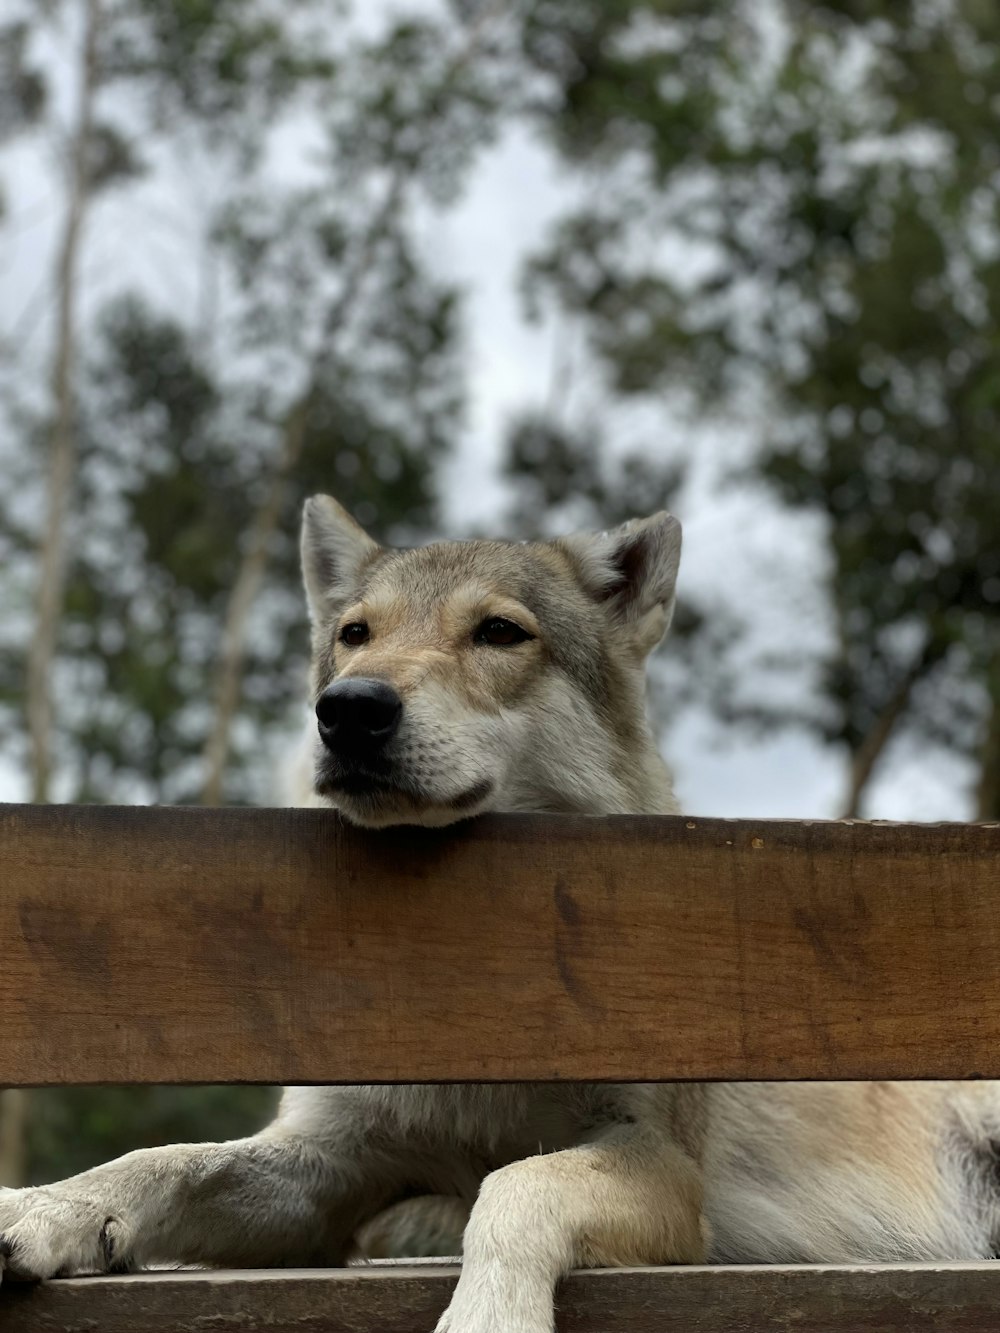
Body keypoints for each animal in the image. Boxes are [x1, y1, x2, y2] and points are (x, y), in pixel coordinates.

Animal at [1, 498, 1000, 1333]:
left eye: (497, 632)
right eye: (355, 635)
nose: (348, 708)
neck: (477, 958)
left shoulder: (663, 1166)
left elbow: (519, 1183)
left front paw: (488, 1318)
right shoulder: (324, 1174)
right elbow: (163, 1157)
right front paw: (45, 1207)